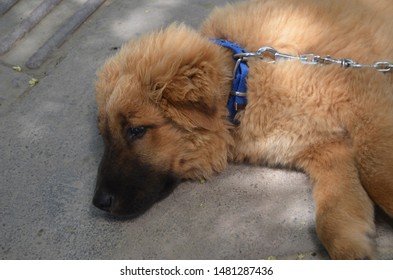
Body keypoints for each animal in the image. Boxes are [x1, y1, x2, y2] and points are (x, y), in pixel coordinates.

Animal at [93, 0, 392, 260]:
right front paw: (356, 248)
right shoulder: (324, 148)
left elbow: (376, 176)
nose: (98, 203)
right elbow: (334, 212)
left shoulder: (371, 103)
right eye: (105, 136)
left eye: (136, 130)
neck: (243, 79)